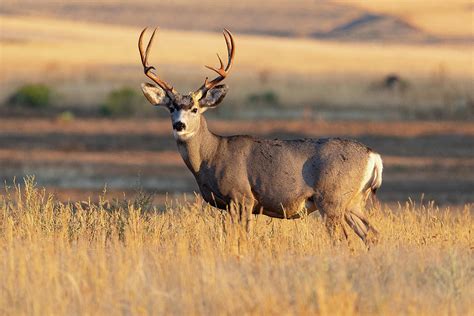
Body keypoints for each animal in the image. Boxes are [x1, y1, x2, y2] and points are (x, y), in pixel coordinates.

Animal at [136, 27, 382, 244]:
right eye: (171, 108)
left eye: (195, 108)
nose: (179, 125)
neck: (212, 155)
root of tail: (373, 156)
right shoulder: (231, 204)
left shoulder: (242, 196)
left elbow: (243, 237)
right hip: (354, 201)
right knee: (372, 234)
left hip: (332, 199)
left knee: (344, 238)